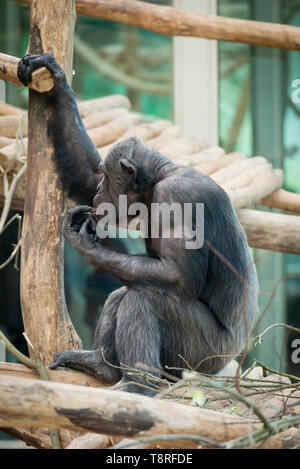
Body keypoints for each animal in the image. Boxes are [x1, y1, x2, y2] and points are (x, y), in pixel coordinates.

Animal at [17, 54, 258, 394]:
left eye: (107, 176)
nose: (99, 190)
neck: (159, 179)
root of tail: (232, 359)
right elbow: (83, 174)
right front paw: (56, 82)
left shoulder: (178, 199)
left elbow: (178, 275)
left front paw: (88, 247)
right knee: (125, 291)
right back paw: (99, 363)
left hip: (201, 357)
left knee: (144, 298)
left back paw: (138, 385)